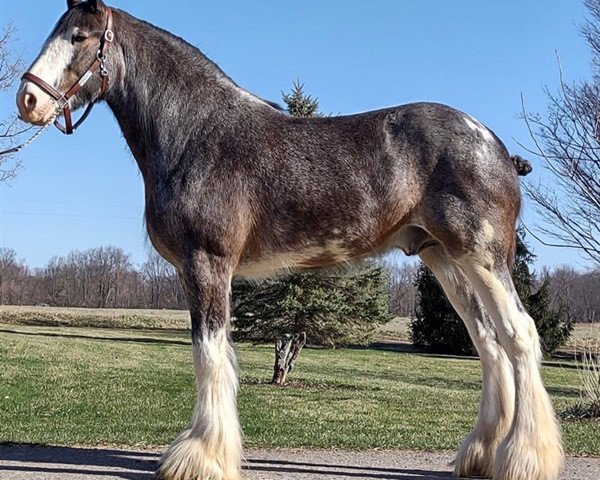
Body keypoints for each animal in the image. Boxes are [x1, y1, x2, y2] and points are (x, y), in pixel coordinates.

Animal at [16, 0, 564, 480]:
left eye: (80, 37)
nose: (28, 100)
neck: (195, 133)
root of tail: (497, 147)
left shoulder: (207, 262)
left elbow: (209, 355)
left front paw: (200, 458)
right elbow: (213, 355)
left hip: (482, 256)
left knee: (518, 336)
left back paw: (524, 459)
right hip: (445, 259)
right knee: (488, 343)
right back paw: (479, 455)